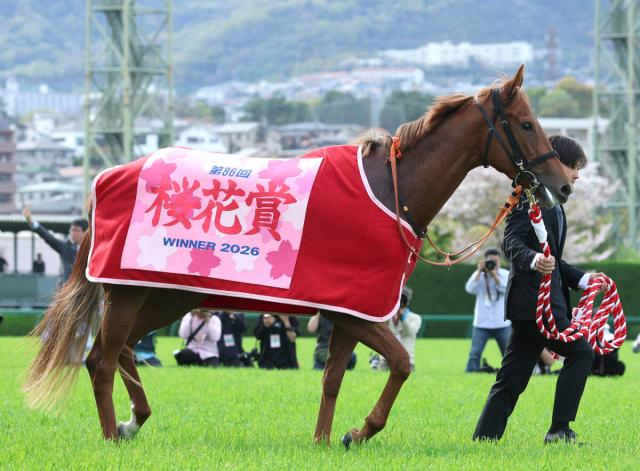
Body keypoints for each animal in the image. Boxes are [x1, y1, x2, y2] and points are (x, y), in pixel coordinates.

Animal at [23, 65, 573, 446]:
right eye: (525, 123)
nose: (564, 183)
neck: (391, 190)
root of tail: (105, 181)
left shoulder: (350, 309)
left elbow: (332, 379)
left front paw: (325, 439)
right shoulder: (360, 310)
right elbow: (399, 363)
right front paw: (359, 431)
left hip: (165, 296)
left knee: (120, 352)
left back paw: (134, 420)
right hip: (129, 292)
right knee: (100, 358)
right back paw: (113, 434)